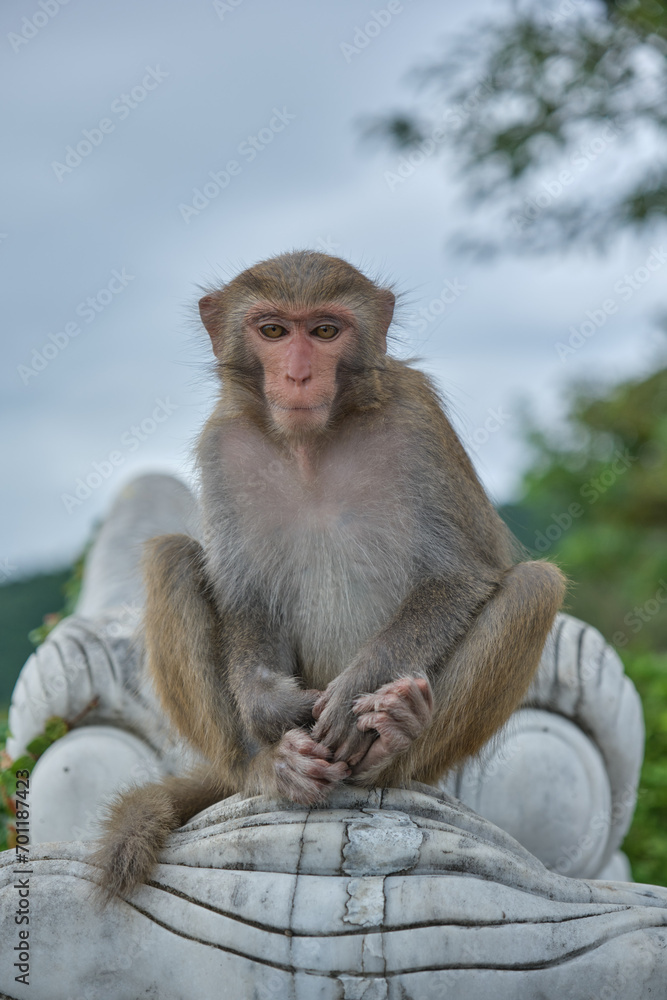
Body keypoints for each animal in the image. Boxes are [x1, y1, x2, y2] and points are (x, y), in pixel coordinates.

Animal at [92, 250, 565, 898]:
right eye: (272, 331)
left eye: (324, 331)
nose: (297, 375)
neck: (312, 443)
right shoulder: (224, 444)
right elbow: (246, 599)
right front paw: (269, 704)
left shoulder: (418, 420)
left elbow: (458, 577)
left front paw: (355, 691)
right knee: (169, 557)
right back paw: (266, 769)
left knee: (535, 587)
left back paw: (393, 744)